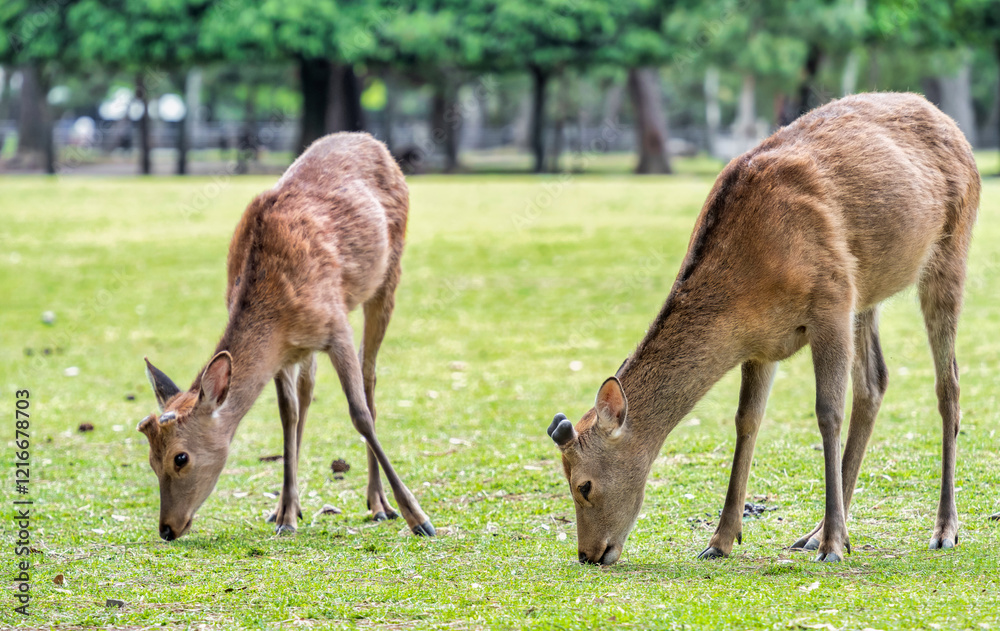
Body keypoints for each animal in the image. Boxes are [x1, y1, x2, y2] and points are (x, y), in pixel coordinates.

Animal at [137, 132, 434, 541]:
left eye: (180, 457)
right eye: (151, 460)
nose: (167, 528)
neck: (276, 309)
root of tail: (373, 142)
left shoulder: (336, 325)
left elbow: (358, 414)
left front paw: (419, 518)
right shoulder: (283, 353)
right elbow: (287, 414)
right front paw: (286, 515)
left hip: (389, 275)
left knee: (369, 380)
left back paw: (378, 504)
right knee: (306, 396)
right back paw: (286, 507)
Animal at [549, 92, 979, 565]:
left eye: (583, 485)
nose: (588, 553)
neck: (750, 284)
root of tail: (951, 123)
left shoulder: (831, 301)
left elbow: (827, 412)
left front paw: (832, 546)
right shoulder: (762, 345)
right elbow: (746, 421)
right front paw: (720, 540)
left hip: (949, 253)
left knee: (948, 384)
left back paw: (942, 530)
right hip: (867, 293)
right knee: (874, 382)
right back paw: (815, 532)